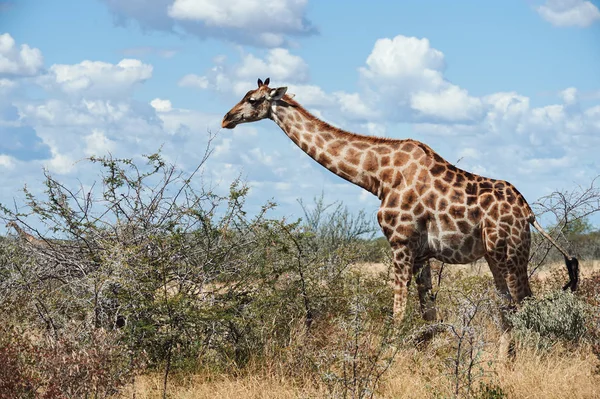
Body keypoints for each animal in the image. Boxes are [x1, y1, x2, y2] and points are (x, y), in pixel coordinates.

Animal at [220, 77, 576, 324]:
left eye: (253, 99)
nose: (226, 118)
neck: (377, 177)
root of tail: (529, 213)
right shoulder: (421, 253)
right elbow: (428, 317)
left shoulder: (401, 242)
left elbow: (398, 314)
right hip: (495, 256)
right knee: (509, 308)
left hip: (510, 253)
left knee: (524, 304)